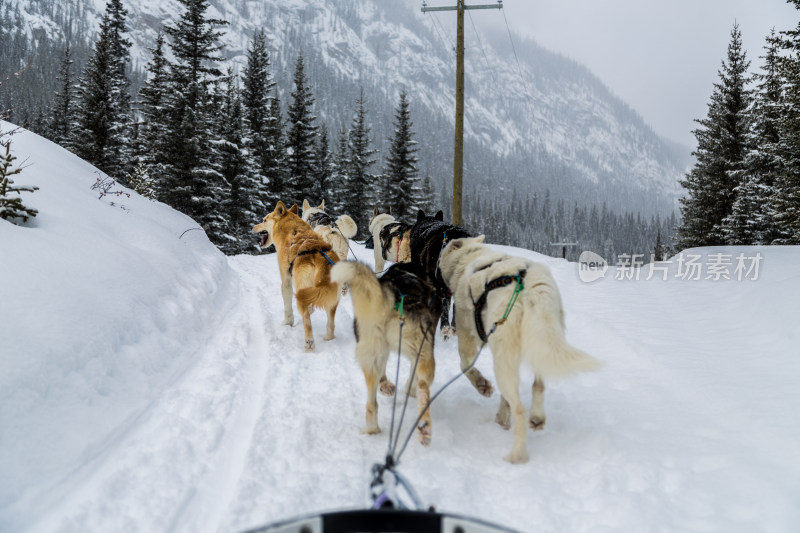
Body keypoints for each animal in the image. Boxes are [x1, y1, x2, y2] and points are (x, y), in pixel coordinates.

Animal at [253, 202, 340, 352]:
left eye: (264, 220)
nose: (253, 227)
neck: (291, 229)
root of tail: (319, 258)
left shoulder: (286, 279)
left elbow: (287, 306)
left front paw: (287, 323)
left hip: (301, 292)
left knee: (307, 320)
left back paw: (309, 343)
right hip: (331, 298)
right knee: (331, 323)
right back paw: (328, 337)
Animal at [332, 260, 444, 446]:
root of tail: (392, 295)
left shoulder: (383, 352)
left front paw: (386, 385)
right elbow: (412, 377)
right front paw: (409, 390)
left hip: (372, 355)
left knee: (371, 403)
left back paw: (372, 427)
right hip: (425, 354)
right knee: (423, 387)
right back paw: (423, 426)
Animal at [438, 236, 600, 462]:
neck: (470, 258)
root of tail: (530, 285)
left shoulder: (467, 337)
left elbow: (466, 366)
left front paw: (483, 386)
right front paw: (502, 417)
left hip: (503, 360)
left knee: (520, 408)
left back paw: (517, 455)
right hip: (539, 343)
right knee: (538, 386)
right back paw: (537, 418)